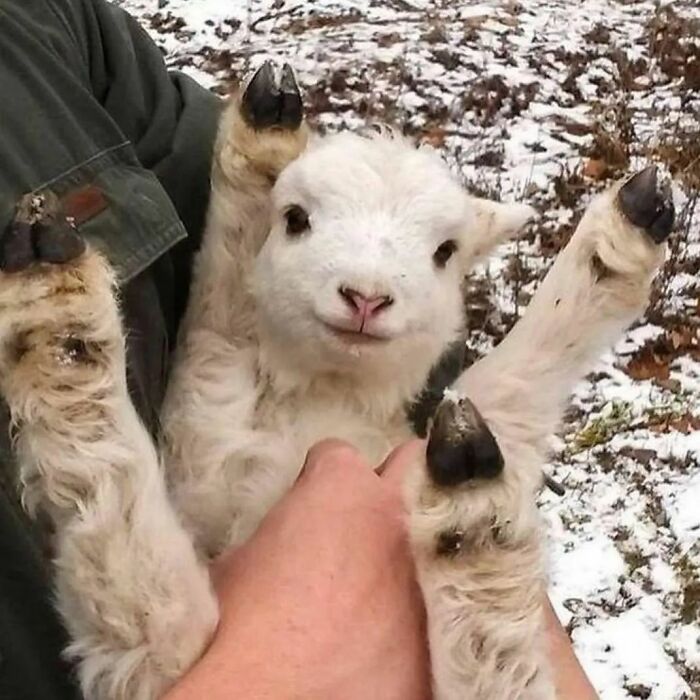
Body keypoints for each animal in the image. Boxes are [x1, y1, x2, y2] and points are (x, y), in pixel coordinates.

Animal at [0, 61, 680, 700]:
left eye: (445, 252)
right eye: (296, 219)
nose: (366, 298)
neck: (323, 396)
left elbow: (513, 384)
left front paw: (615, 247)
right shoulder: (162, 636)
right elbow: (134, 580)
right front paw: (56, 315)